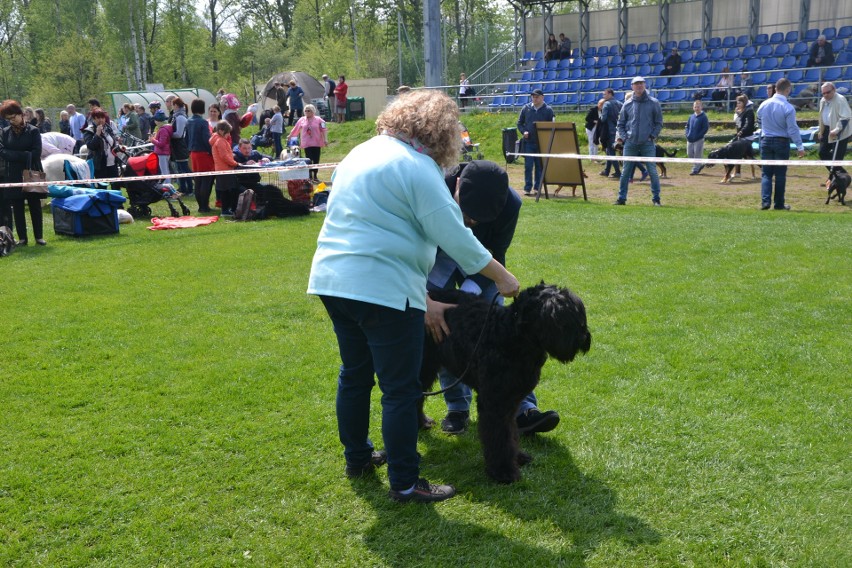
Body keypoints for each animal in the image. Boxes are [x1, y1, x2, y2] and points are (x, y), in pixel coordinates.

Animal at [416, 284, 588, 484]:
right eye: (555, 313)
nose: (583, 337)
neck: (512, 336)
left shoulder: (512, 400)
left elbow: (511, 432)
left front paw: (518, 457)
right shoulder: (495, 402)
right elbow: (499, 436)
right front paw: (503, 471)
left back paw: (422, 423)